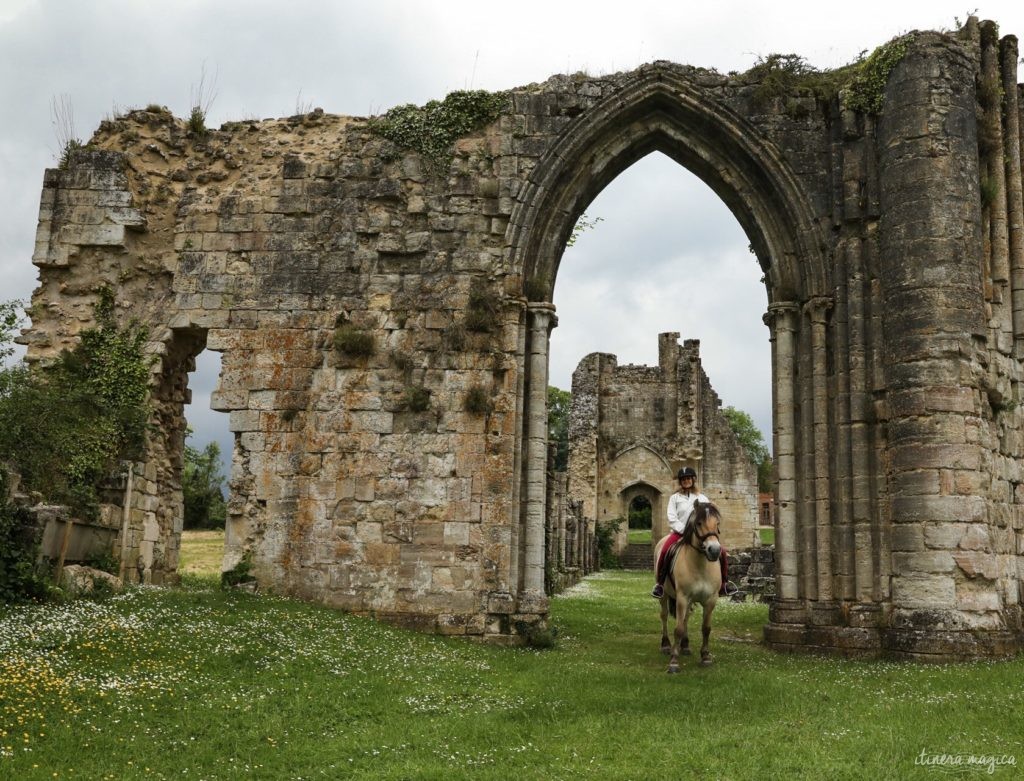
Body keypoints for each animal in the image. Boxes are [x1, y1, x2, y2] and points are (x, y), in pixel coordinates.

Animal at [651, 503, 724, 675]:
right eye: (699, 523)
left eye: (717, 524)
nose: (714, 550)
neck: (701, 565)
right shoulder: (682, 598)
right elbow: (677, 628)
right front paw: (674, 661)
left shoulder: (711, 600)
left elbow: (706, 628)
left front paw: (705, 656)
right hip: (665, 595)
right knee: (664, 615)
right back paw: (666, 644)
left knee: (686, 618)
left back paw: (685, 645)